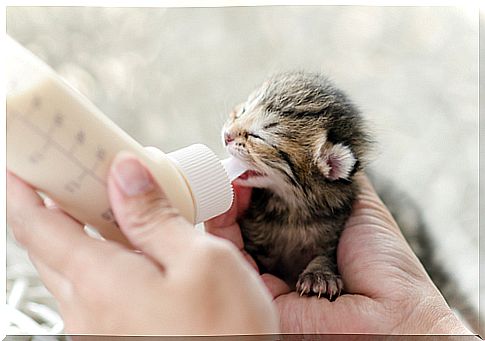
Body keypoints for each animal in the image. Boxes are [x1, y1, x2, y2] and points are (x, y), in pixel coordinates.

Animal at [220, 71, 370, 298]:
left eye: (258, 136)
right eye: (243, 110)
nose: (226, 135)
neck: (291, 211)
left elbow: (327, 254)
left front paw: (320, 274)